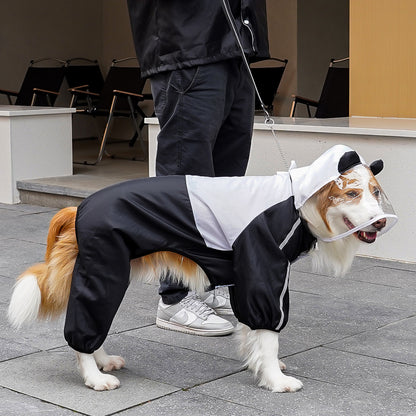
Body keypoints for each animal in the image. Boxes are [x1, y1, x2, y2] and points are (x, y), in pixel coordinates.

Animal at [7, 146, 396, 394]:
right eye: (352, 194)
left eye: (376, 192)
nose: (380, 222)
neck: (294, 201)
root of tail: (79, 208)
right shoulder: (263, 273)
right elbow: (268, 333)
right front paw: (274, 379)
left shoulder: (247, 279)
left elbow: (254, 333)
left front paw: (259, 363)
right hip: (104, 269)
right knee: (84, 327)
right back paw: (94, 376)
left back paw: (103, 362)